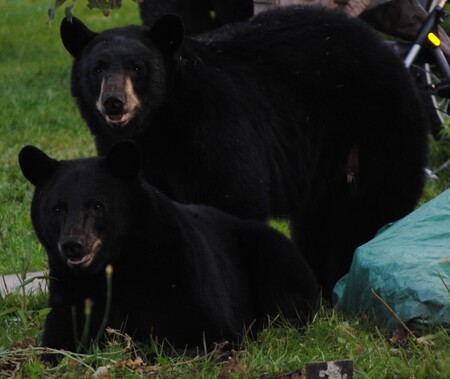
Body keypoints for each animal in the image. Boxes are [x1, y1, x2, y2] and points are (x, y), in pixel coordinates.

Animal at [18, 142, 320, 354]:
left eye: (97, 205)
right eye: (58, 208)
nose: (73, 245)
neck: (119, 263)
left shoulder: (178, 271)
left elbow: (208, 332)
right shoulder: (69, 289)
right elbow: (59, 342)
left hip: (273, 250)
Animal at [59, 4, 428, 298]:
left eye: (137, 67)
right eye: (97, 68)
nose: (114, 102)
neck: (157, 127)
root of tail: (389, 52)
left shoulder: (215, 128)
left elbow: (231, 198)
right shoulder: (128, 153)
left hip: (378, 131)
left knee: (368, 211)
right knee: (317, 220)